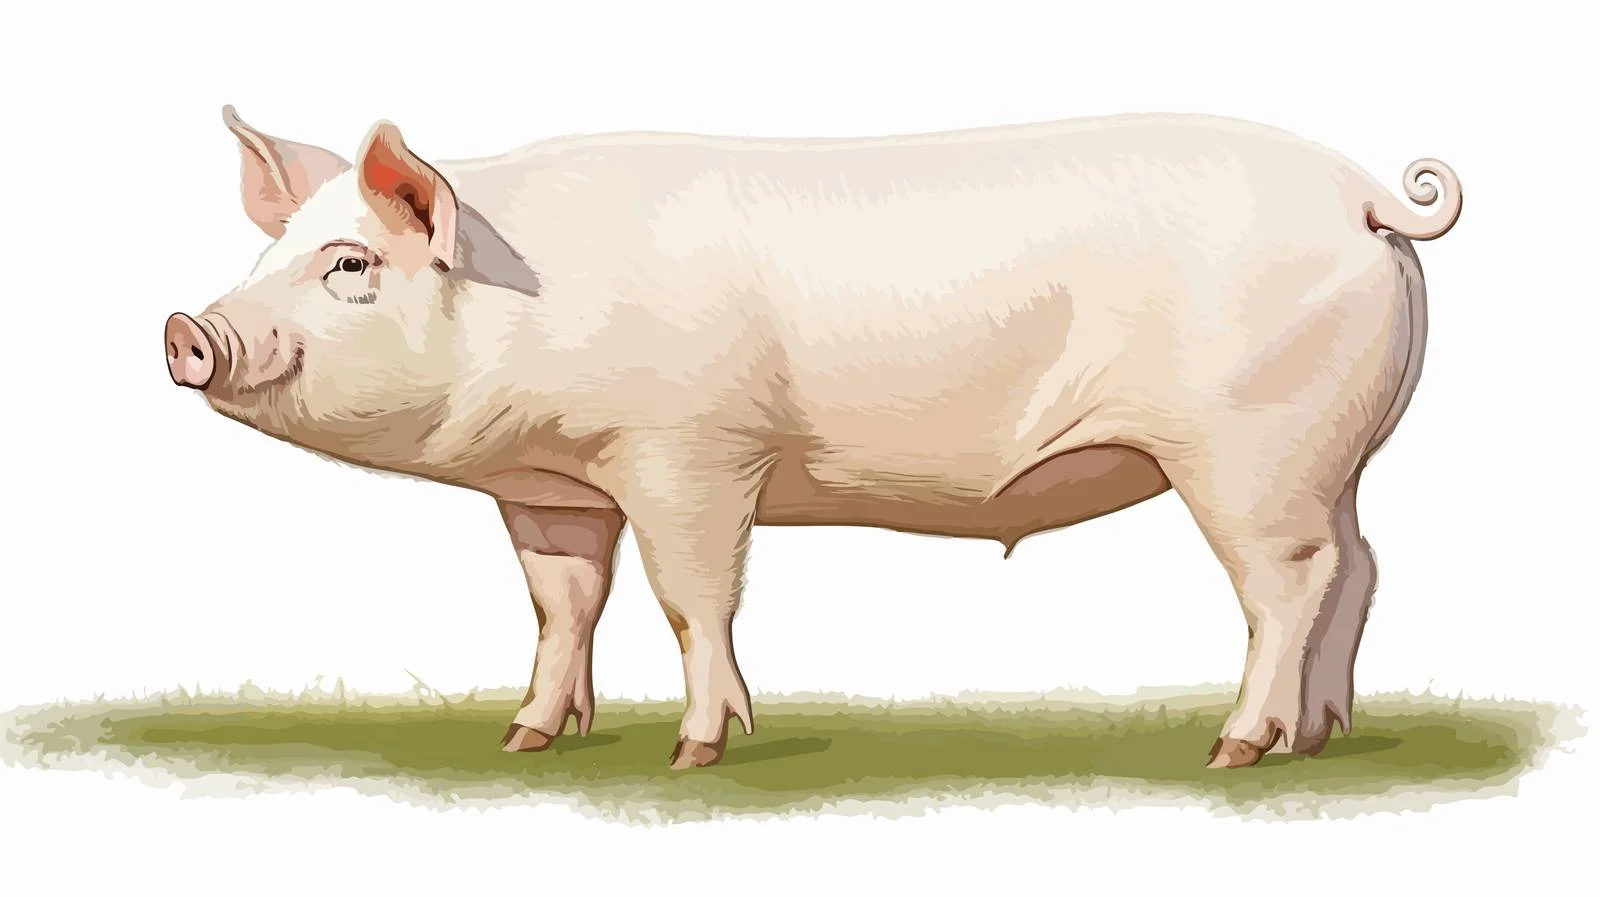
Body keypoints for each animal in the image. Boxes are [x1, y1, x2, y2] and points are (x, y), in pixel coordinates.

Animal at [165, 105, 1461, 770]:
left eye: (349, 266)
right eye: (268, 254)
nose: (188, 328)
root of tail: (1366, 196)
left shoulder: (690, 453)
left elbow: (691, 599)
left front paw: (695, 755)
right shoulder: (551, 489)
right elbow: (562, 604)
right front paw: (526, 740)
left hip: (1249, 451)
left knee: (1290, 584)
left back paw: (1239, 750)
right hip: (1331, 456)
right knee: (1361, 566)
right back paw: (1324, 737)